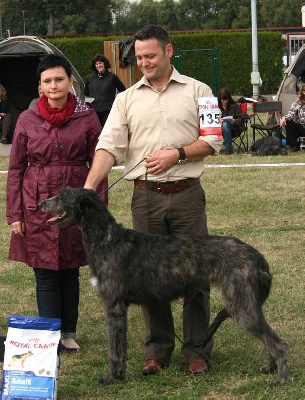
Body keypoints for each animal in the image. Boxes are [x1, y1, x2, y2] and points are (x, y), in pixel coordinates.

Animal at [38, 188, 288, 388]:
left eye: (61, 195)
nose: (39, 204)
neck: (106, 239)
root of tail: (258, 257)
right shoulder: (120, 309)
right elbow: (121, 348)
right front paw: (120, 375)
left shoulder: (113, 306)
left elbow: (114, 350)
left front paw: (110, 378)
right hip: (246, 303)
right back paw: (270, 368)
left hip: (241, 305)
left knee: (279, 343)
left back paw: (280, 379)